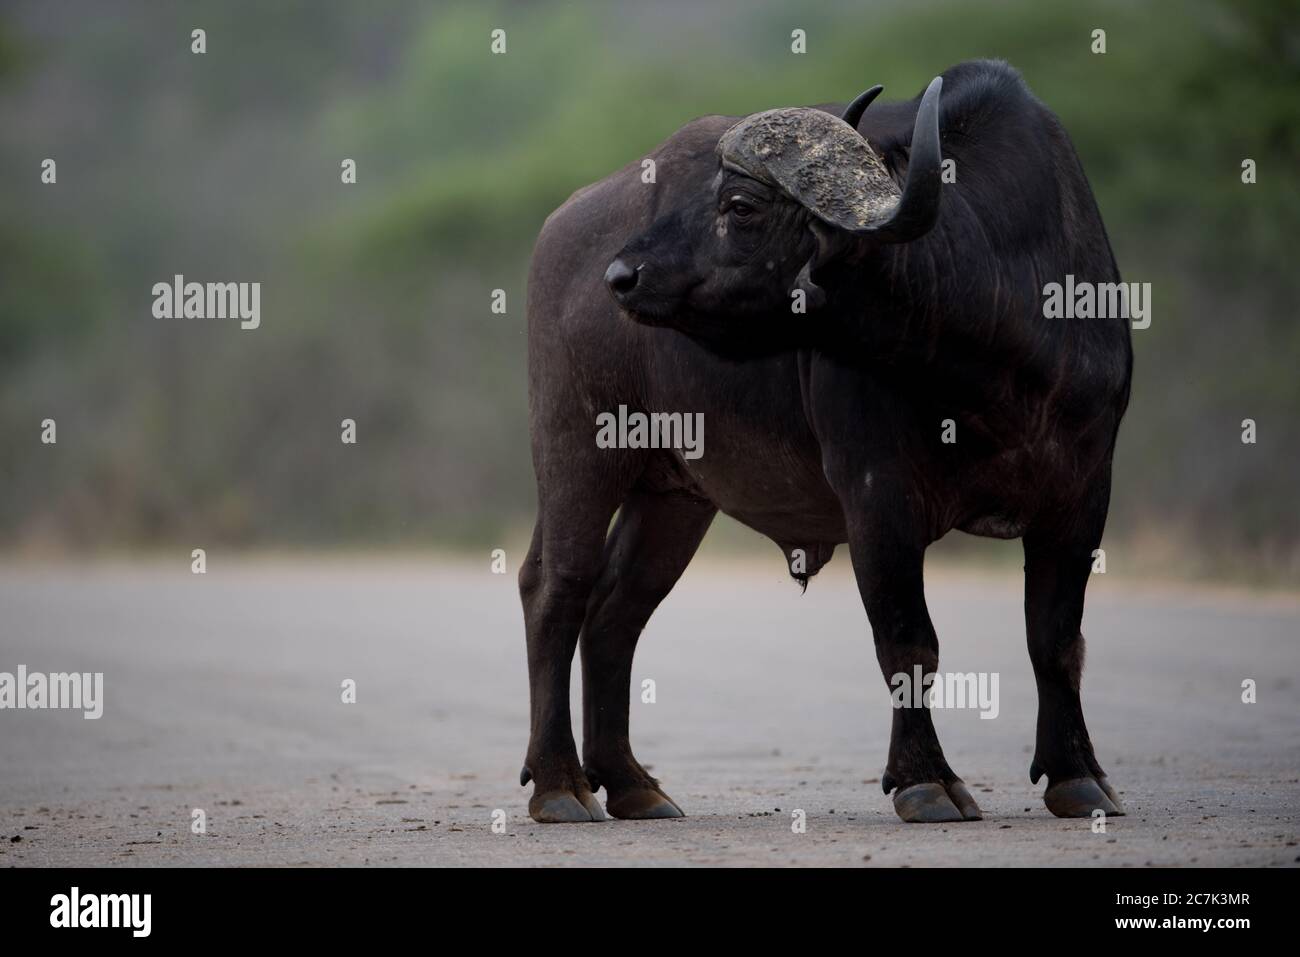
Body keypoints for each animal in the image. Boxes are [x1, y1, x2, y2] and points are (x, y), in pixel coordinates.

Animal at [517, 57, 1128, 821]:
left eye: (739, 206)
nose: (621, 275)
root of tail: (561, 227)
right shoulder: (878, 496)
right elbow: (908, 641)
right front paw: (926, 779)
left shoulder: (1083, 492)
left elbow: (1055, 639)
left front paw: (1078, 774)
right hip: (578, 449)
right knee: (556, 590)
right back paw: (560, 784)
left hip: (675, 493)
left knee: (615, 609)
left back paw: (631, 783)